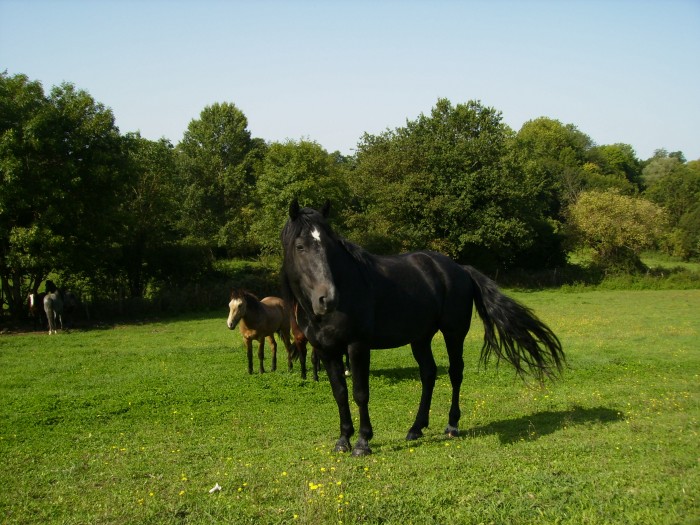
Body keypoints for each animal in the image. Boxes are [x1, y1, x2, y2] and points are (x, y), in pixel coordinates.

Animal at [278, 201, 564, 454]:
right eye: (300, 246)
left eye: (329, 247)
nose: (327, 299)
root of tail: (460, 269)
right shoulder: (326, 351)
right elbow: (339, 393)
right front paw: (342, 440)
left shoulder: (357, 346)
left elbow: (360, 393)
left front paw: (362, 442)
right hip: (420, 338)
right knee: (428, 374)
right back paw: (416, 428)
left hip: (454, 333)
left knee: (455, 373)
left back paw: (452, 425)